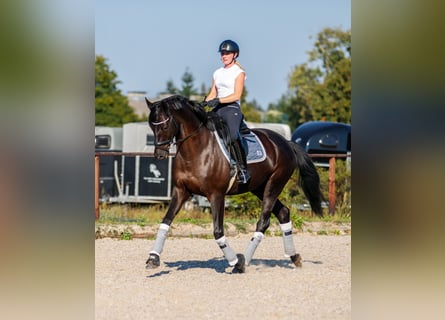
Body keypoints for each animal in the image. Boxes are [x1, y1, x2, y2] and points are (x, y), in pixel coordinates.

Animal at [146, 94, 322, 272]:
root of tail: (286, 143)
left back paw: (244, 261)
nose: (159, 154)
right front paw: (153, 258)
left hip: (274, 184)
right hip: (259, 187)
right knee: (283, 212)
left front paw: (235, 261)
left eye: (165, 125)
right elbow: (165, 221)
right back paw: (294, 257)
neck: (196, 150)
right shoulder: (181, 191)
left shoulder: (216, 195)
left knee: (263, 221)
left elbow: (218, 231)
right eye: (151, 126)